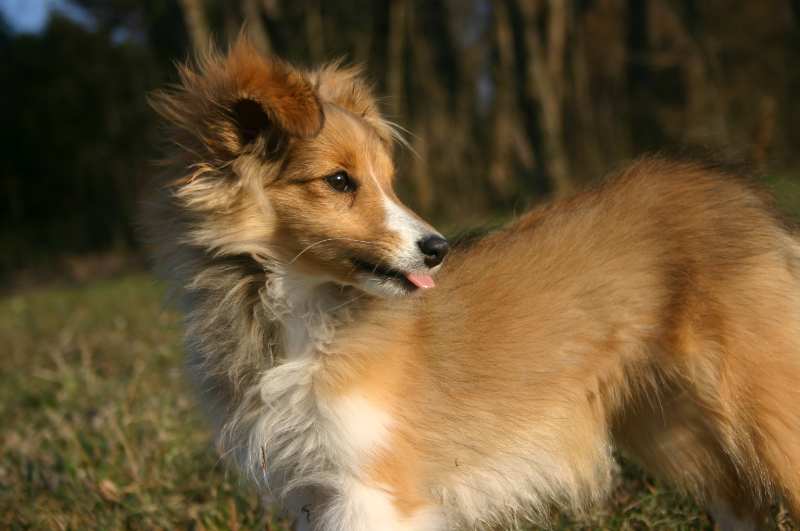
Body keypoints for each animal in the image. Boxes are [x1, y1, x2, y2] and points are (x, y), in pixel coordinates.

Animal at [142, 42, 800, 531]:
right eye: (339, 181)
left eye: (387, 180)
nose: (438, 250)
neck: (297, 316)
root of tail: (737, 187)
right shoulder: (318, 489)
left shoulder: (372, 490)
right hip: (668, 422)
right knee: (742, 505)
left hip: (760, 406)